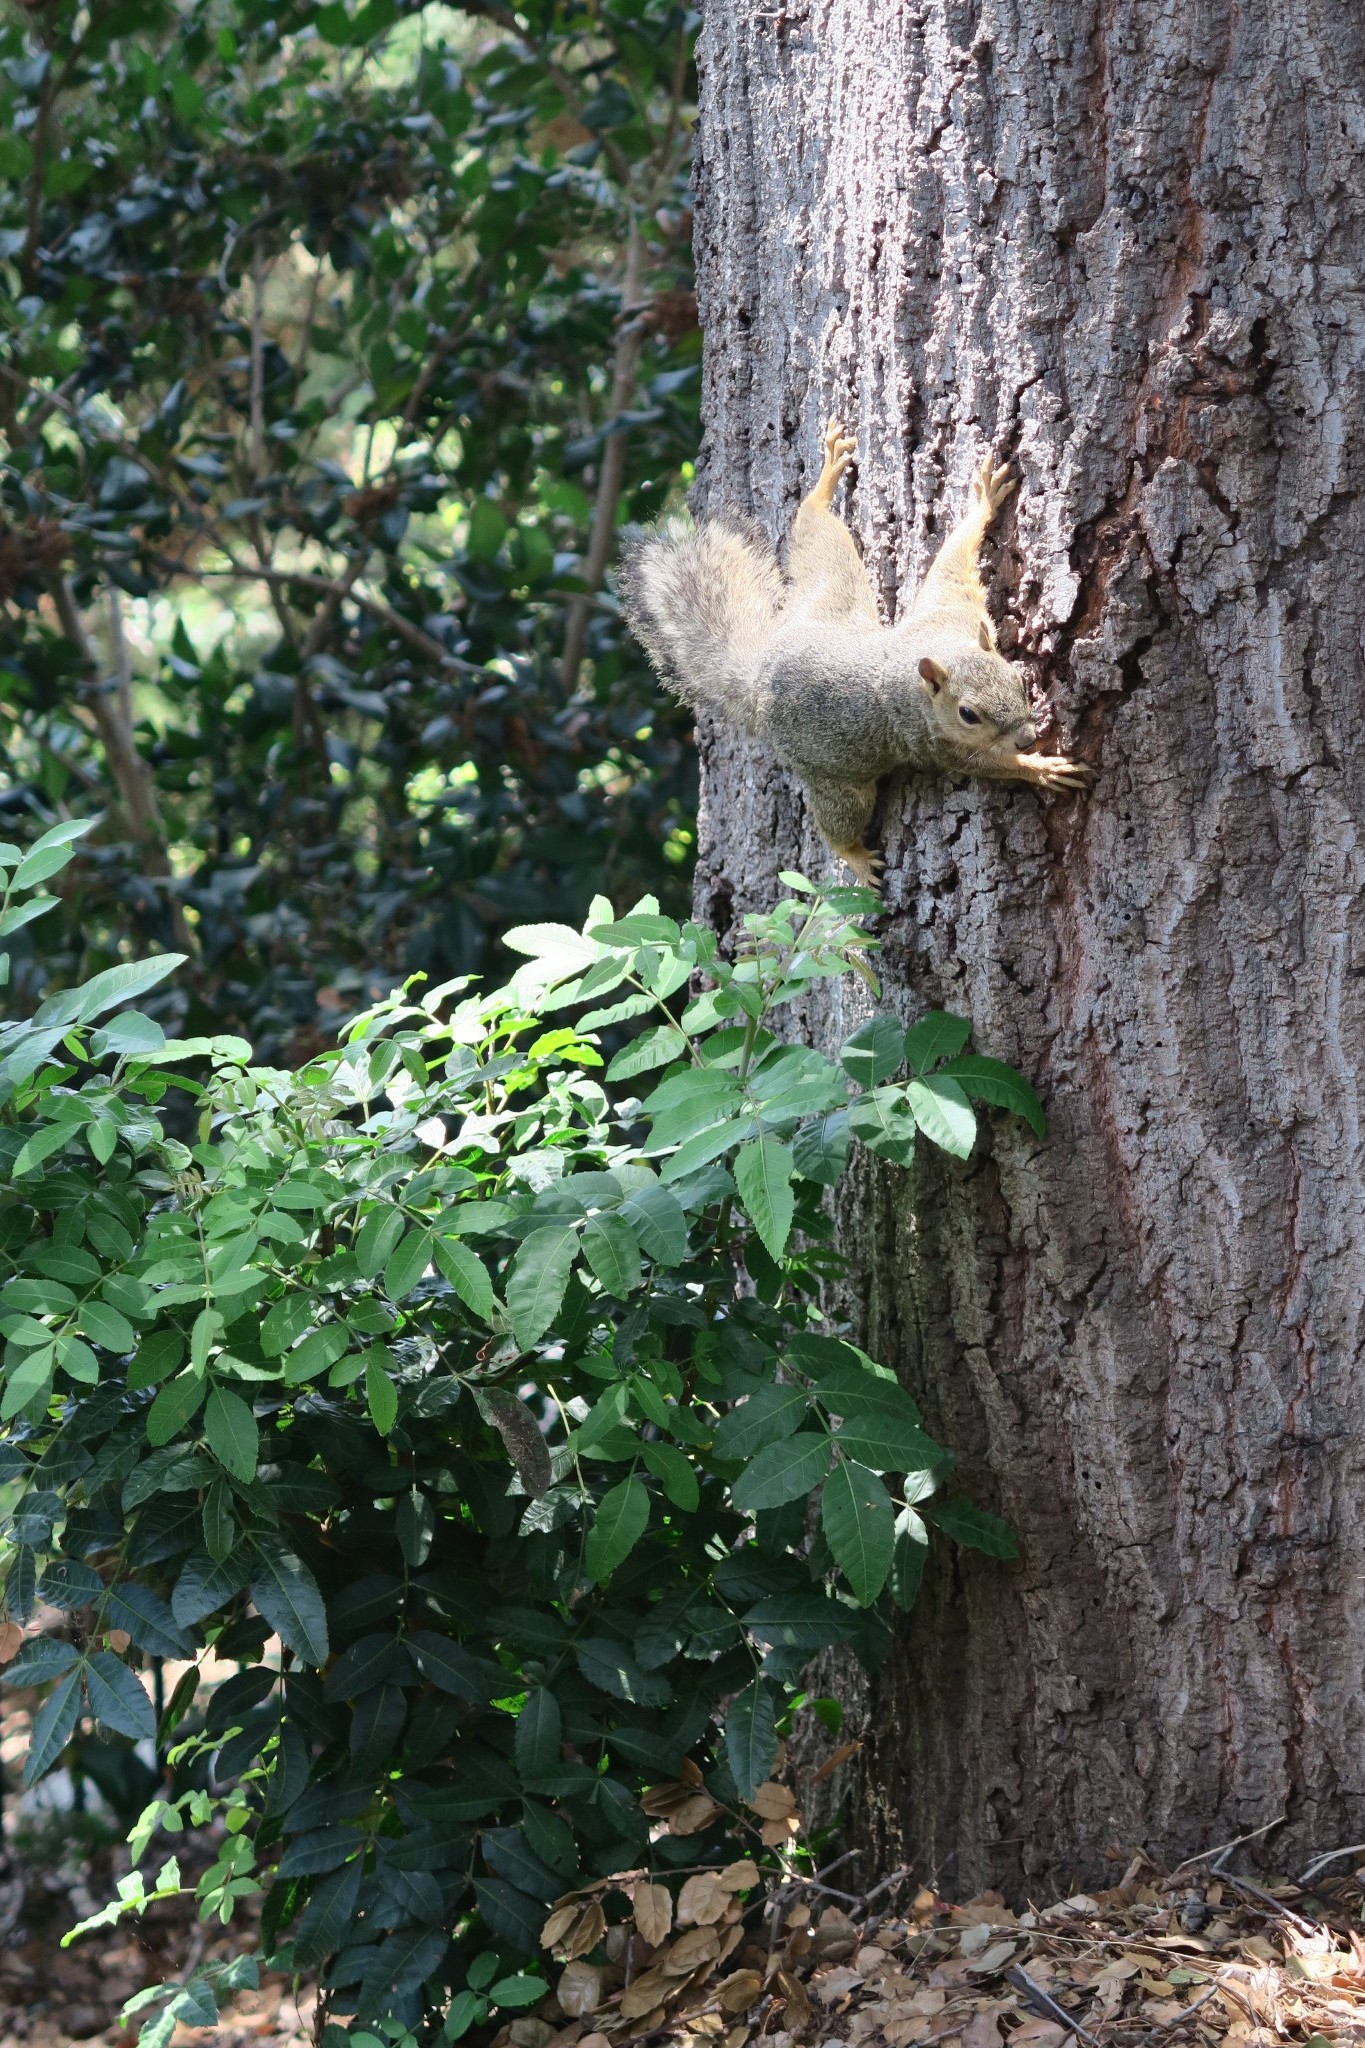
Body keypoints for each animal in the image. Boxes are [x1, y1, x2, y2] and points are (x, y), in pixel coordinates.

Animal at [622, 419, 1088, 884]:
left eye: (1018, 679)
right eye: (968, 715)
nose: (1027, 739)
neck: (936, 649)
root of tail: (760, 674)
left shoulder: (951, 607)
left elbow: (951, 561)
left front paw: (983, 499)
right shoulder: (932, 741)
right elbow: (983, 764)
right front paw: (1038, 768)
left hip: (832, 588)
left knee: (815, 527)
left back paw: (825, 479)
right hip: (836, 778)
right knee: (837, 820)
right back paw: (856, 858)